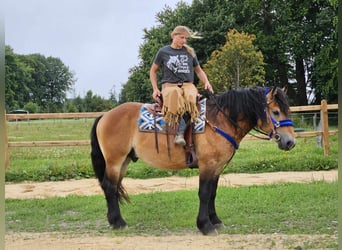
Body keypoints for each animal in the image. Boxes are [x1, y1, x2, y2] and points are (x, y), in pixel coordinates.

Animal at [91, 85, 296, 234]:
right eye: (276, 112)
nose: (290, 142)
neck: (220, 121)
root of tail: (105, 115)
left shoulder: (217, 167)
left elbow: (212, 193)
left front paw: (216, 221)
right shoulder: (207, 165)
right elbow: (204, 193)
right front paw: (205, 225)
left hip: (124, 161)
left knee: (113, 187)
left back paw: (115, 220)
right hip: (115, 161)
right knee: (109, 187)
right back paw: (118, 222)